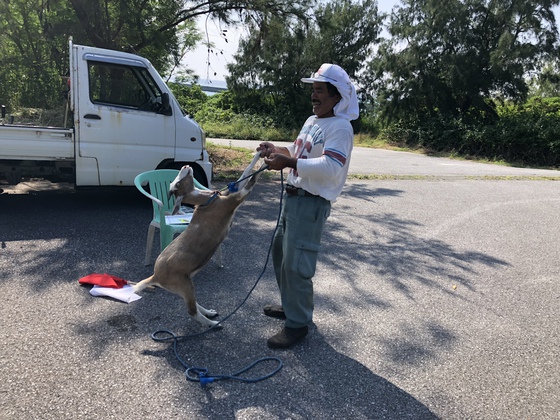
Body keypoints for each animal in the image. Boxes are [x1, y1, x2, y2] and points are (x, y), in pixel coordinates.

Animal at [132, 153, 266, 326]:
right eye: (177, 183)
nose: (184, 166)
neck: (206, 202)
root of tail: (155, 276)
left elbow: (246, 172)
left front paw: (260, 154)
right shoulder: (235, 199)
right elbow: (252, 179)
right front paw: (265, 163)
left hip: (186, 285)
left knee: (194, 304)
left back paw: (209, 312)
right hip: (184, 285)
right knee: (192, 311)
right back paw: (213, 324)